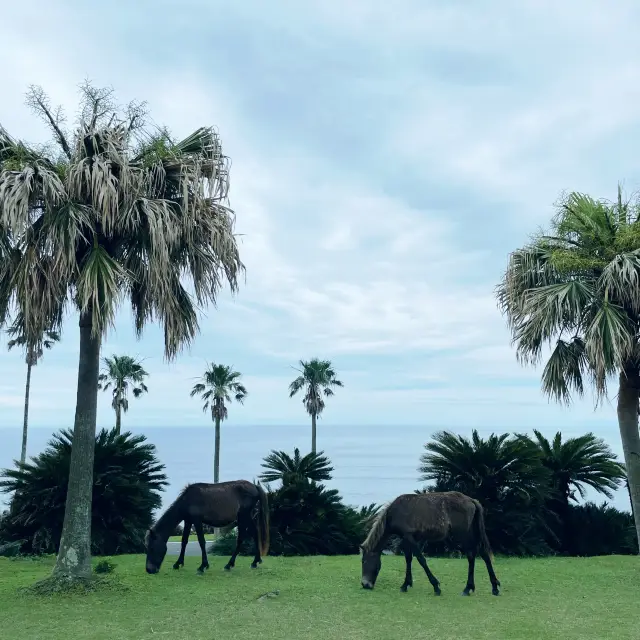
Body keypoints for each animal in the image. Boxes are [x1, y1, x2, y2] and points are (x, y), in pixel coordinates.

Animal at [360, 492, 500, 596]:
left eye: (363, 561)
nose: (365, 584)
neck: (394, 513)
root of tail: (472, 500)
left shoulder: (409, 537)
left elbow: (421, 559)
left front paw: (436, 586)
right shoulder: (410, 539)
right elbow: (409, 559)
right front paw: (406, 584)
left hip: (464, 534)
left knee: (472, 555)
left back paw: (469, 588)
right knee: (482, 554)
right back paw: (490, 587)